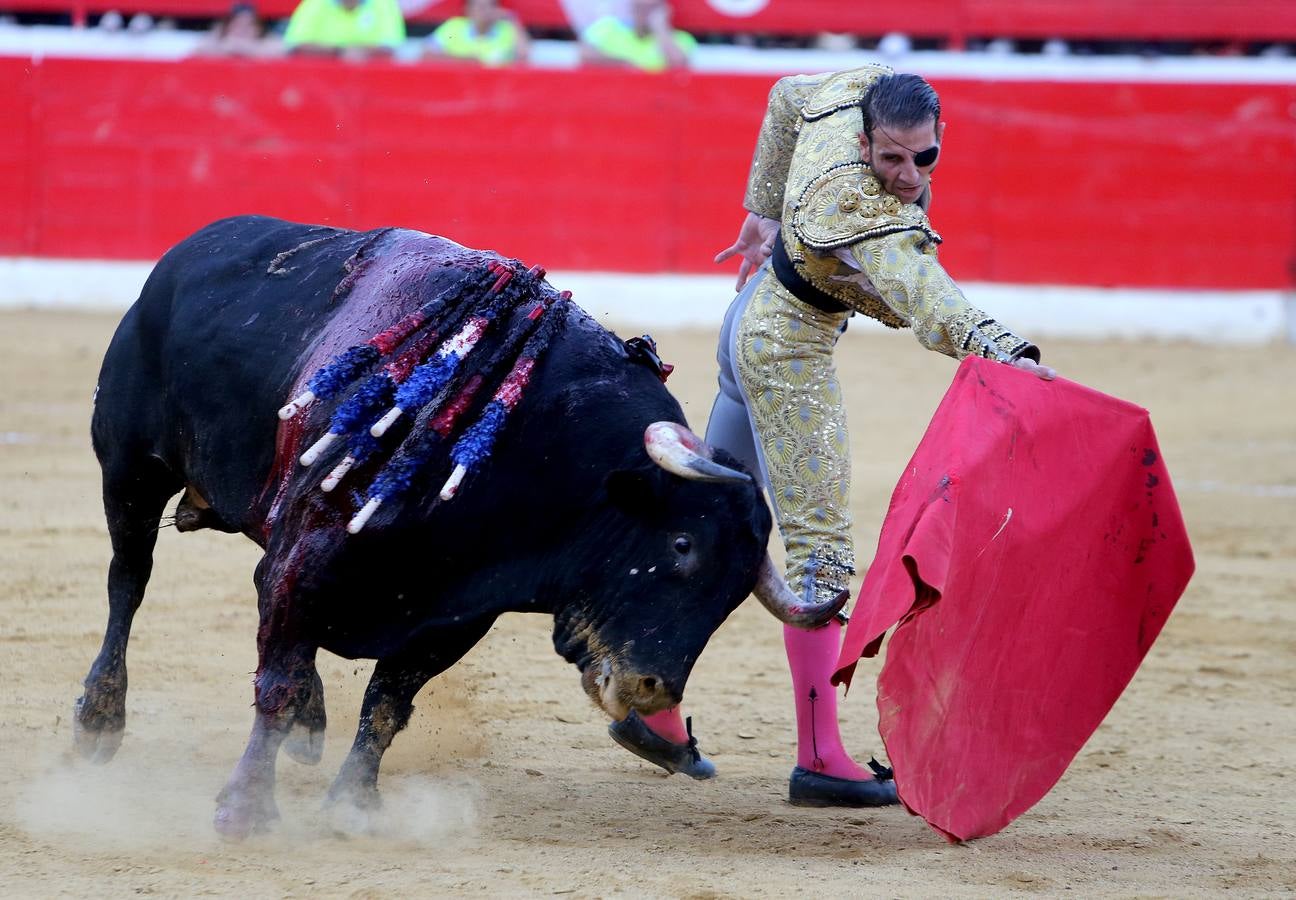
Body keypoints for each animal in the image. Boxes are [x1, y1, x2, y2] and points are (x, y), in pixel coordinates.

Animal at [73, 216, 839, 840]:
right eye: (681, 545)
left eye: (734, 596)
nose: (655, 689)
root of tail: (188, 252)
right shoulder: (308, 558)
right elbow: (277, 681)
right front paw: (246, 811)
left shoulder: (455, 614)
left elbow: (386, 704)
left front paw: (354, 808)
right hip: (131, 472)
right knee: (129, 581)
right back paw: (97, 722)